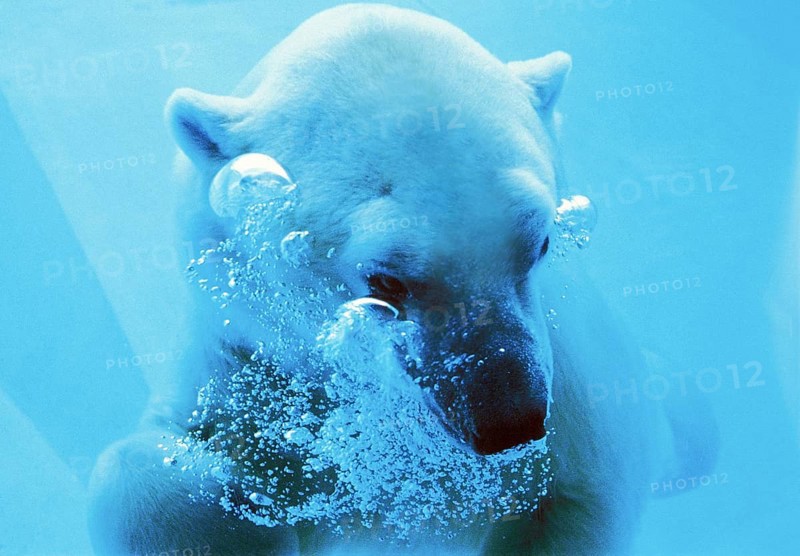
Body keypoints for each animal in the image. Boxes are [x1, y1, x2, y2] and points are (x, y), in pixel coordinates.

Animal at [88, 4, 716, 555]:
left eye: (539, 244)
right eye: (384, 280)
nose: (509, 420)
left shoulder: (577, 390)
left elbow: (582, 491)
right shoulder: (254, 370)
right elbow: (151, 468)